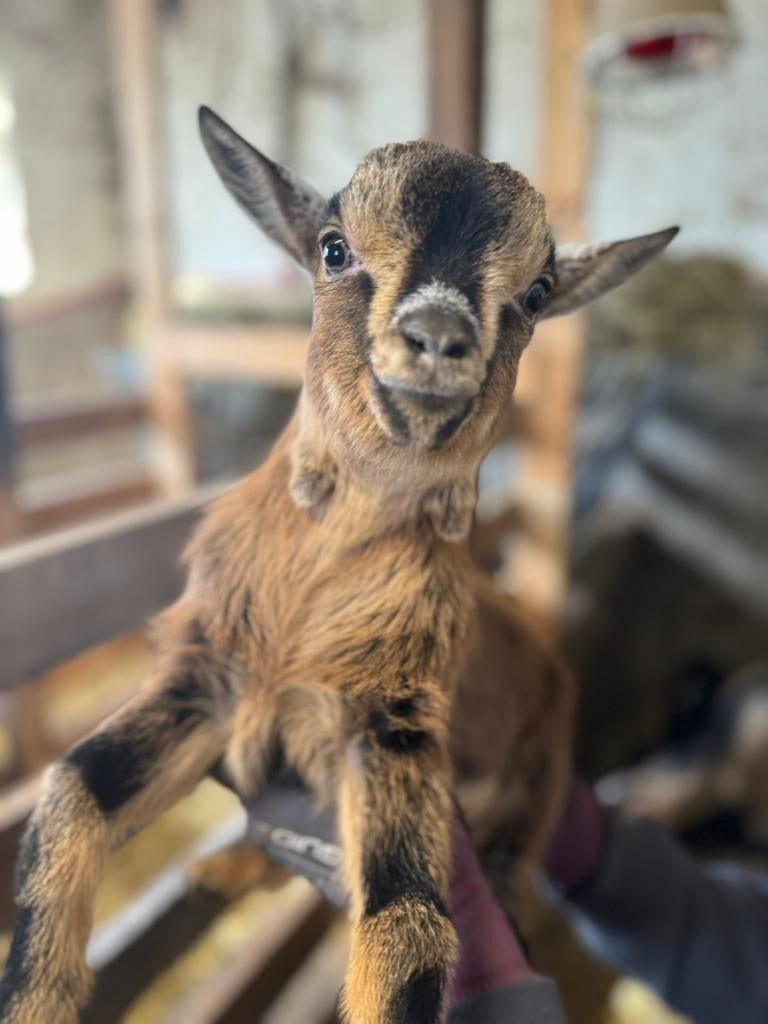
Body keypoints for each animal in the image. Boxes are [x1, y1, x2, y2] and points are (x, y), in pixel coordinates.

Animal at [0, 107, 677, 1024]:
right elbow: (71, 788)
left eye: (537, 292)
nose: (439, 338)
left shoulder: (389, 722)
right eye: (333, 248)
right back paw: (219, 869)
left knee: (502, 880)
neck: (310, 594)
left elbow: (410, 927)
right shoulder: (210, 675)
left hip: (532, 794)